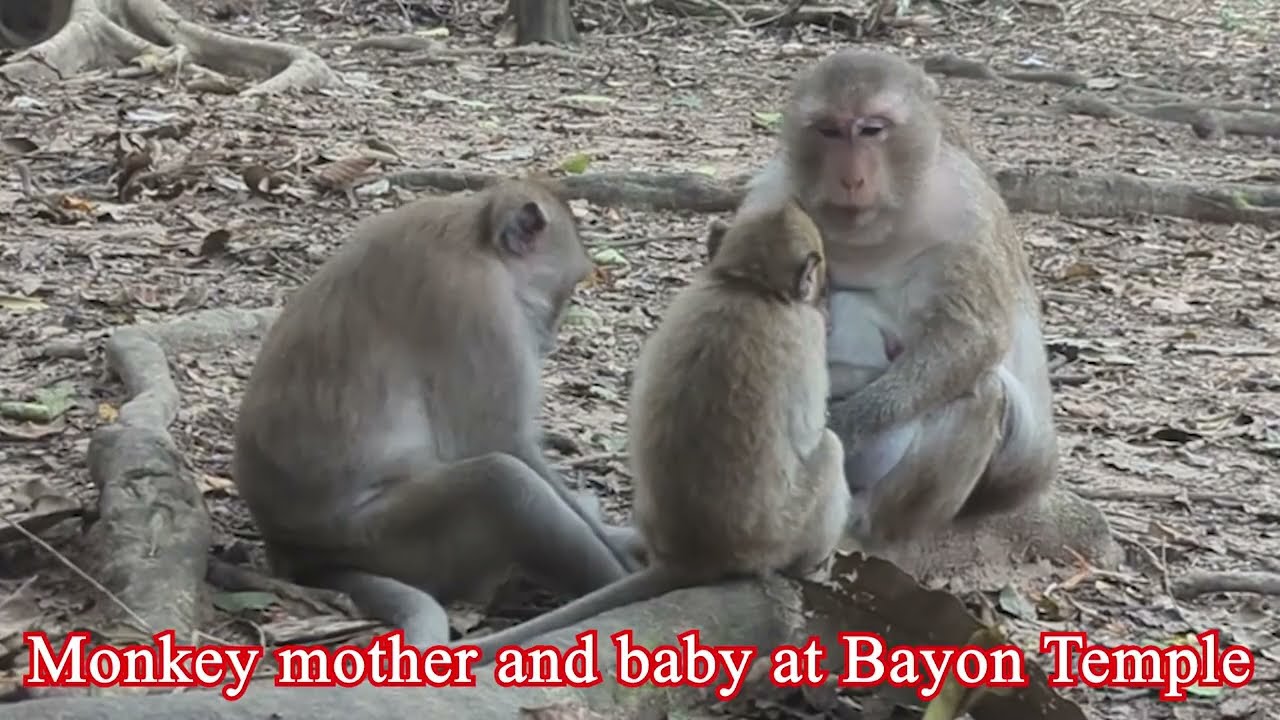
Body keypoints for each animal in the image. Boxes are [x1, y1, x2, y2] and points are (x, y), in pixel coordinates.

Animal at [231, 178, 644, 649]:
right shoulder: (477, 305)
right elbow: (501, 443)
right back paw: (619, 583)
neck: (476, 236)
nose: (549, 336)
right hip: (388, 543)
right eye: (566, 289)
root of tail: (295, 556)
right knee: (502, 482)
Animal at [453, 200, 851, 662]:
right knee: (831, 450)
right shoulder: (806, 332)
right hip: (781, 535)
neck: (744, 286)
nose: (823, 292)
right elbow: (811, 434)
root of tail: (692, 554)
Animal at [737, 48, 1058, 552]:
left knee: (979, 392)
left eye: (872, 129)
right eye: (829, 130)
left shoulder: (964, 209)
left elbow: (972, 337)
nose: (851, 178)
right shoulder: (770, 197)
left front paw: (846, 423)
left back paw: (869, 527)